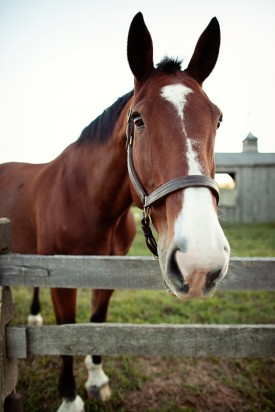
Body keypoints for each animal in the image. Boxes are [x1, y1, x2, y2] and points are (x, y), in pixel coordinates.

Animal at [0, 12, 231, 412]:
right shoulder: (62, 280)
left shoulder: (106, 273)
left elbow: (96, 323)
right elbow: (68, 336)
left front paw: (96, 380)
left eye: (216, 119)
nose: (200, 262)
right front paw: (70, 398)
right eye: (138, 119)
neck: (90, 202)